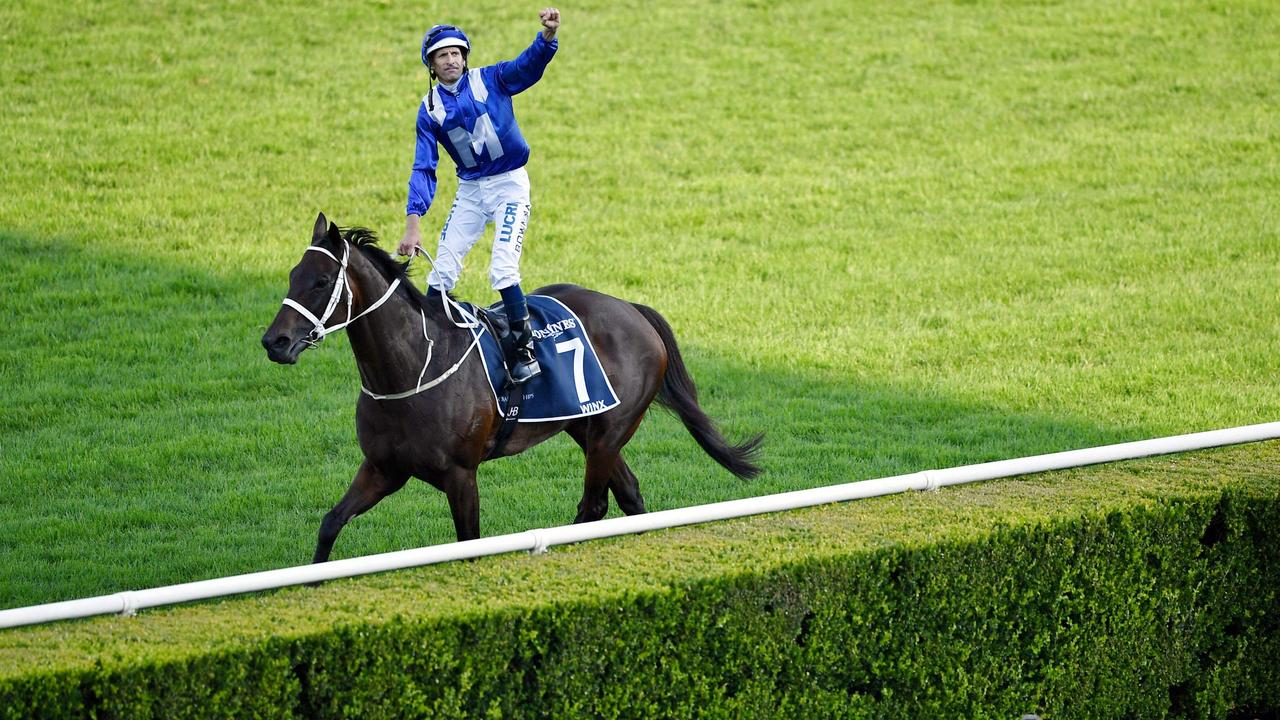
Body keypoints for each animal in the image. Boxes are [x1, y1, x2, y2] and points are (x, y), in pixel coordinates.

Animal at [259, 212, 757, 561]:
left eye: (322, 281)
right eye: (292, 275)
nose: (274, 341)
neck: (412, 369)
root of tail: (632, 308)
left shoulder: (461, 474)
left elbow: (469, 544)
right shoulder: (384, 468)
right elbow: (329, 523)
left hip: (611, 429)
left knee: (594, 505)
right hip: (587, 426)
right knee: (629, 494)